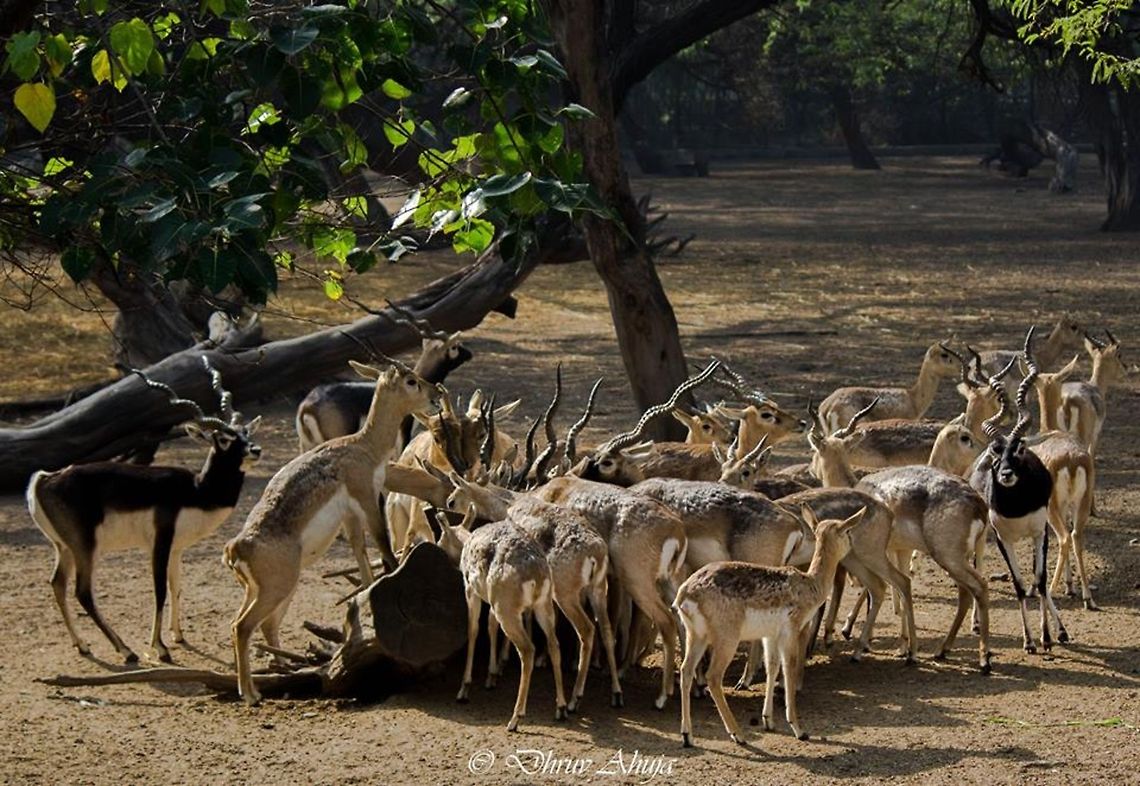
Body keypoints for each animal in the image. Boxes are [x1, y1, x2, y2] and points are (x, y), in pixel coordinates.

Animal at [27, 359, 261, 664]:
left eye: (246, 432)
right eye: (223, 439)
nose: (255, 450)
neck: (196, 490)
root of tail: (45, 480)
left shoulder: (177, 549)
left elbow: (176, 587)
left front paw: (178, 636)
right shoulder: (159, 544)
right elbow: (159, 590)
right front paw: (160, 648)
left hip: (64, 547)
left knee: (57, 583)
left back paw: (83, 645)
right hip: (85, 547)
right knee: (83, 592)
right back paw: (126, 650)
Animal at [225, 358, 440, 705]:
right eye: (411, 380)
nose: (437, 395)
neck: (363, 446)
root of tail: (237, 547)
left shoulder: (350, 516)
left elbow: (362, 559)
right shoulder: (367, 499)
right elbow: (384, 547)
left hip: (264, 591)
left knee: (255, 625)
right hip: (275, 590)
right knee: (242, 627)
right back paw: (251, 694)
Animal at [436, 505, 568, 731]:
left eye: (440, 540)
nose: (435, 547)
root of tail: (537, 576)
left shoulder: (471, 590)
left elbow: (473, 629)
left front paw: (464, 689)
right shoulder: (491, 601)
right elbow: (490, 626)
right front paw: (492, 676)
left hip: (506, 607)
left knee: (528, 649)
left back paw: (515, 718)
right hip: (542, 605)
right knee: (554, 645)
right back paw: (561, 708)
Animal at [676, 507, 865, 747]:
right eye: (847, 530)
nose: (854, 545)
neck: (810, 585)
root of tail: (685, 594)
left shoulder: (769, 636)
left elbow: (772, 667)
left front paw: (768, 721)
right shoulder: (791, 631)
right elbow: (789, 668)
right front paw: (799, 729)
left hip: (696, 635)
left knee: (686, 670)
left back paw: (687, 736)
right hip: (726, 638)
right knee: (713, 677)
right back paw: (738, 734)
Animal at [968, 329, 1069, 654]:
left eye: (1020, 449)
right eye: (996, 451)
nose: (1006, 474)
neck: (1017, 505)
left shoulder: (1040, 531)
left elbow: (1040, 581)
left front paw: (1047, 636)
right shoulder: (1003, 537)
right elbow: (1019, 584)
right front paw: (1028, 640)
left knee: (1041, 582)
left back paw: (1062, 631)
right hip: (983, 534)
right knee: (977, 563)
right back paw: (976, 623)